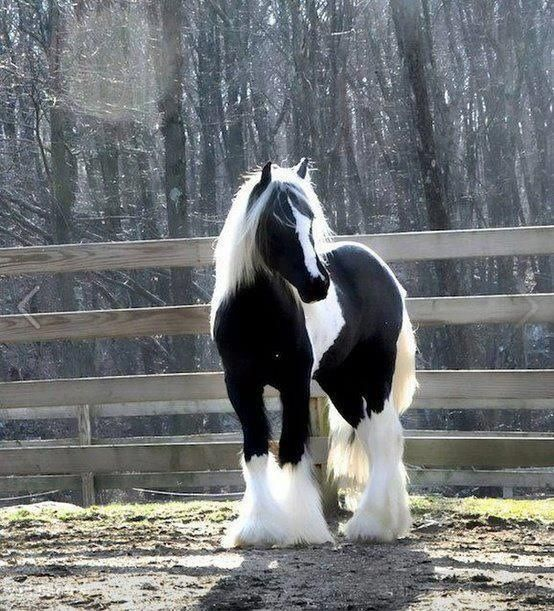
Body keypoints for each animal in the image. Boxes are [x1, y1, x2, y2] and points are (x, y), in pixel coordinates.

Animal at [210, 160, 414, 548]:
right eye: (277, 226)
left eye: (311, 222)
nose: (318, 284)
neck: (257, 317)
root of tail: (380, 268)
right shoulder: (239, 385)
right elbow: (256, 450)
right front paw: (258, 530)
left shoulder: (294, 384)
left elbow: (291, 450)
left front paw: (302, 528)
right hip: (339, 381)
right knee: (370, 434)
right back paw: (387, 520)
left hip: (376, 372)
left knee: (385, 439)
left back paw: (374, 525)